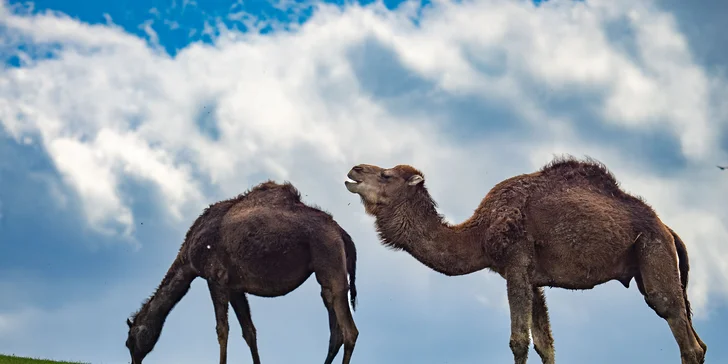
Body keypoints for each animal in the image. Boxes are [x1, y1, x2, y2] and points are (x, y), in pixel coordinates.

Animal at [128, 181, 362, 364]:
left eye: (129, 341)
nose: (133, 361)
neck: (188, 257)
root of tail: (342, 233)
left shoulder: (215, 277)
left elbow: (222, 330)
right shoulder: (235, 287)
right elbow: (249, 332)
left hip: (330, 261)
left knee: (350, 332)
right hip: (326, 275)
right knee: (335, 329)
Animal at [344, 157, 708, 364]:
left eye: (387, 176)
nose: (355, 170)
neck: (480, 232)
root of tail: (667, 228)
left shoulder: (516, 263)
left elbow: (519, 342)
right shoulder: (532, 278)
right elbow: (545, 344)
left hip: (653, 251)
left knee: (680, 329)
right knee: (697, 340)